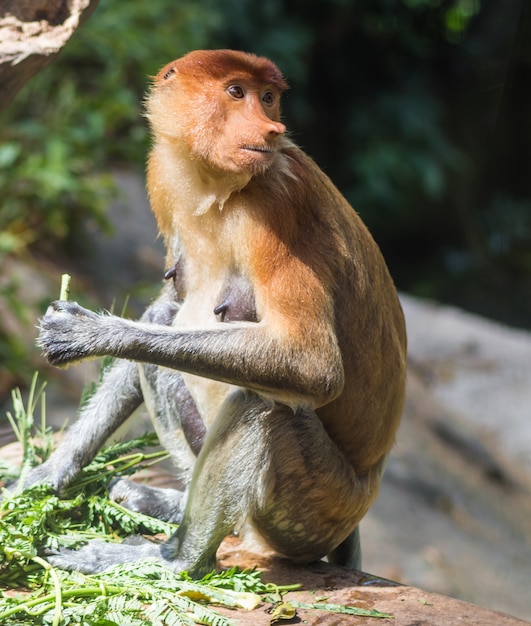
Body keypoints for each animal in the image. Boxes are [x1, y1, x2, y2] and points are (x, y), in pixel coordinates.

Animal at [28, 50, 408, 576]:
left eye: (268, 97)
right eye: (236, 92)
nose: (271, 127)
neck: (219, 187)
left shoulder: (278, 202)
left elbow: (312, 363)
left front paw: (85, 334)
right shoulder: (163, 179)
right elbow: (164, 309)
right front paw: (44, 476)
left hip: (318, 504)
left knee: (265, 404)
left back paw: (177, 561)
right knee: (163, 329)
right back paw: (166, 503)